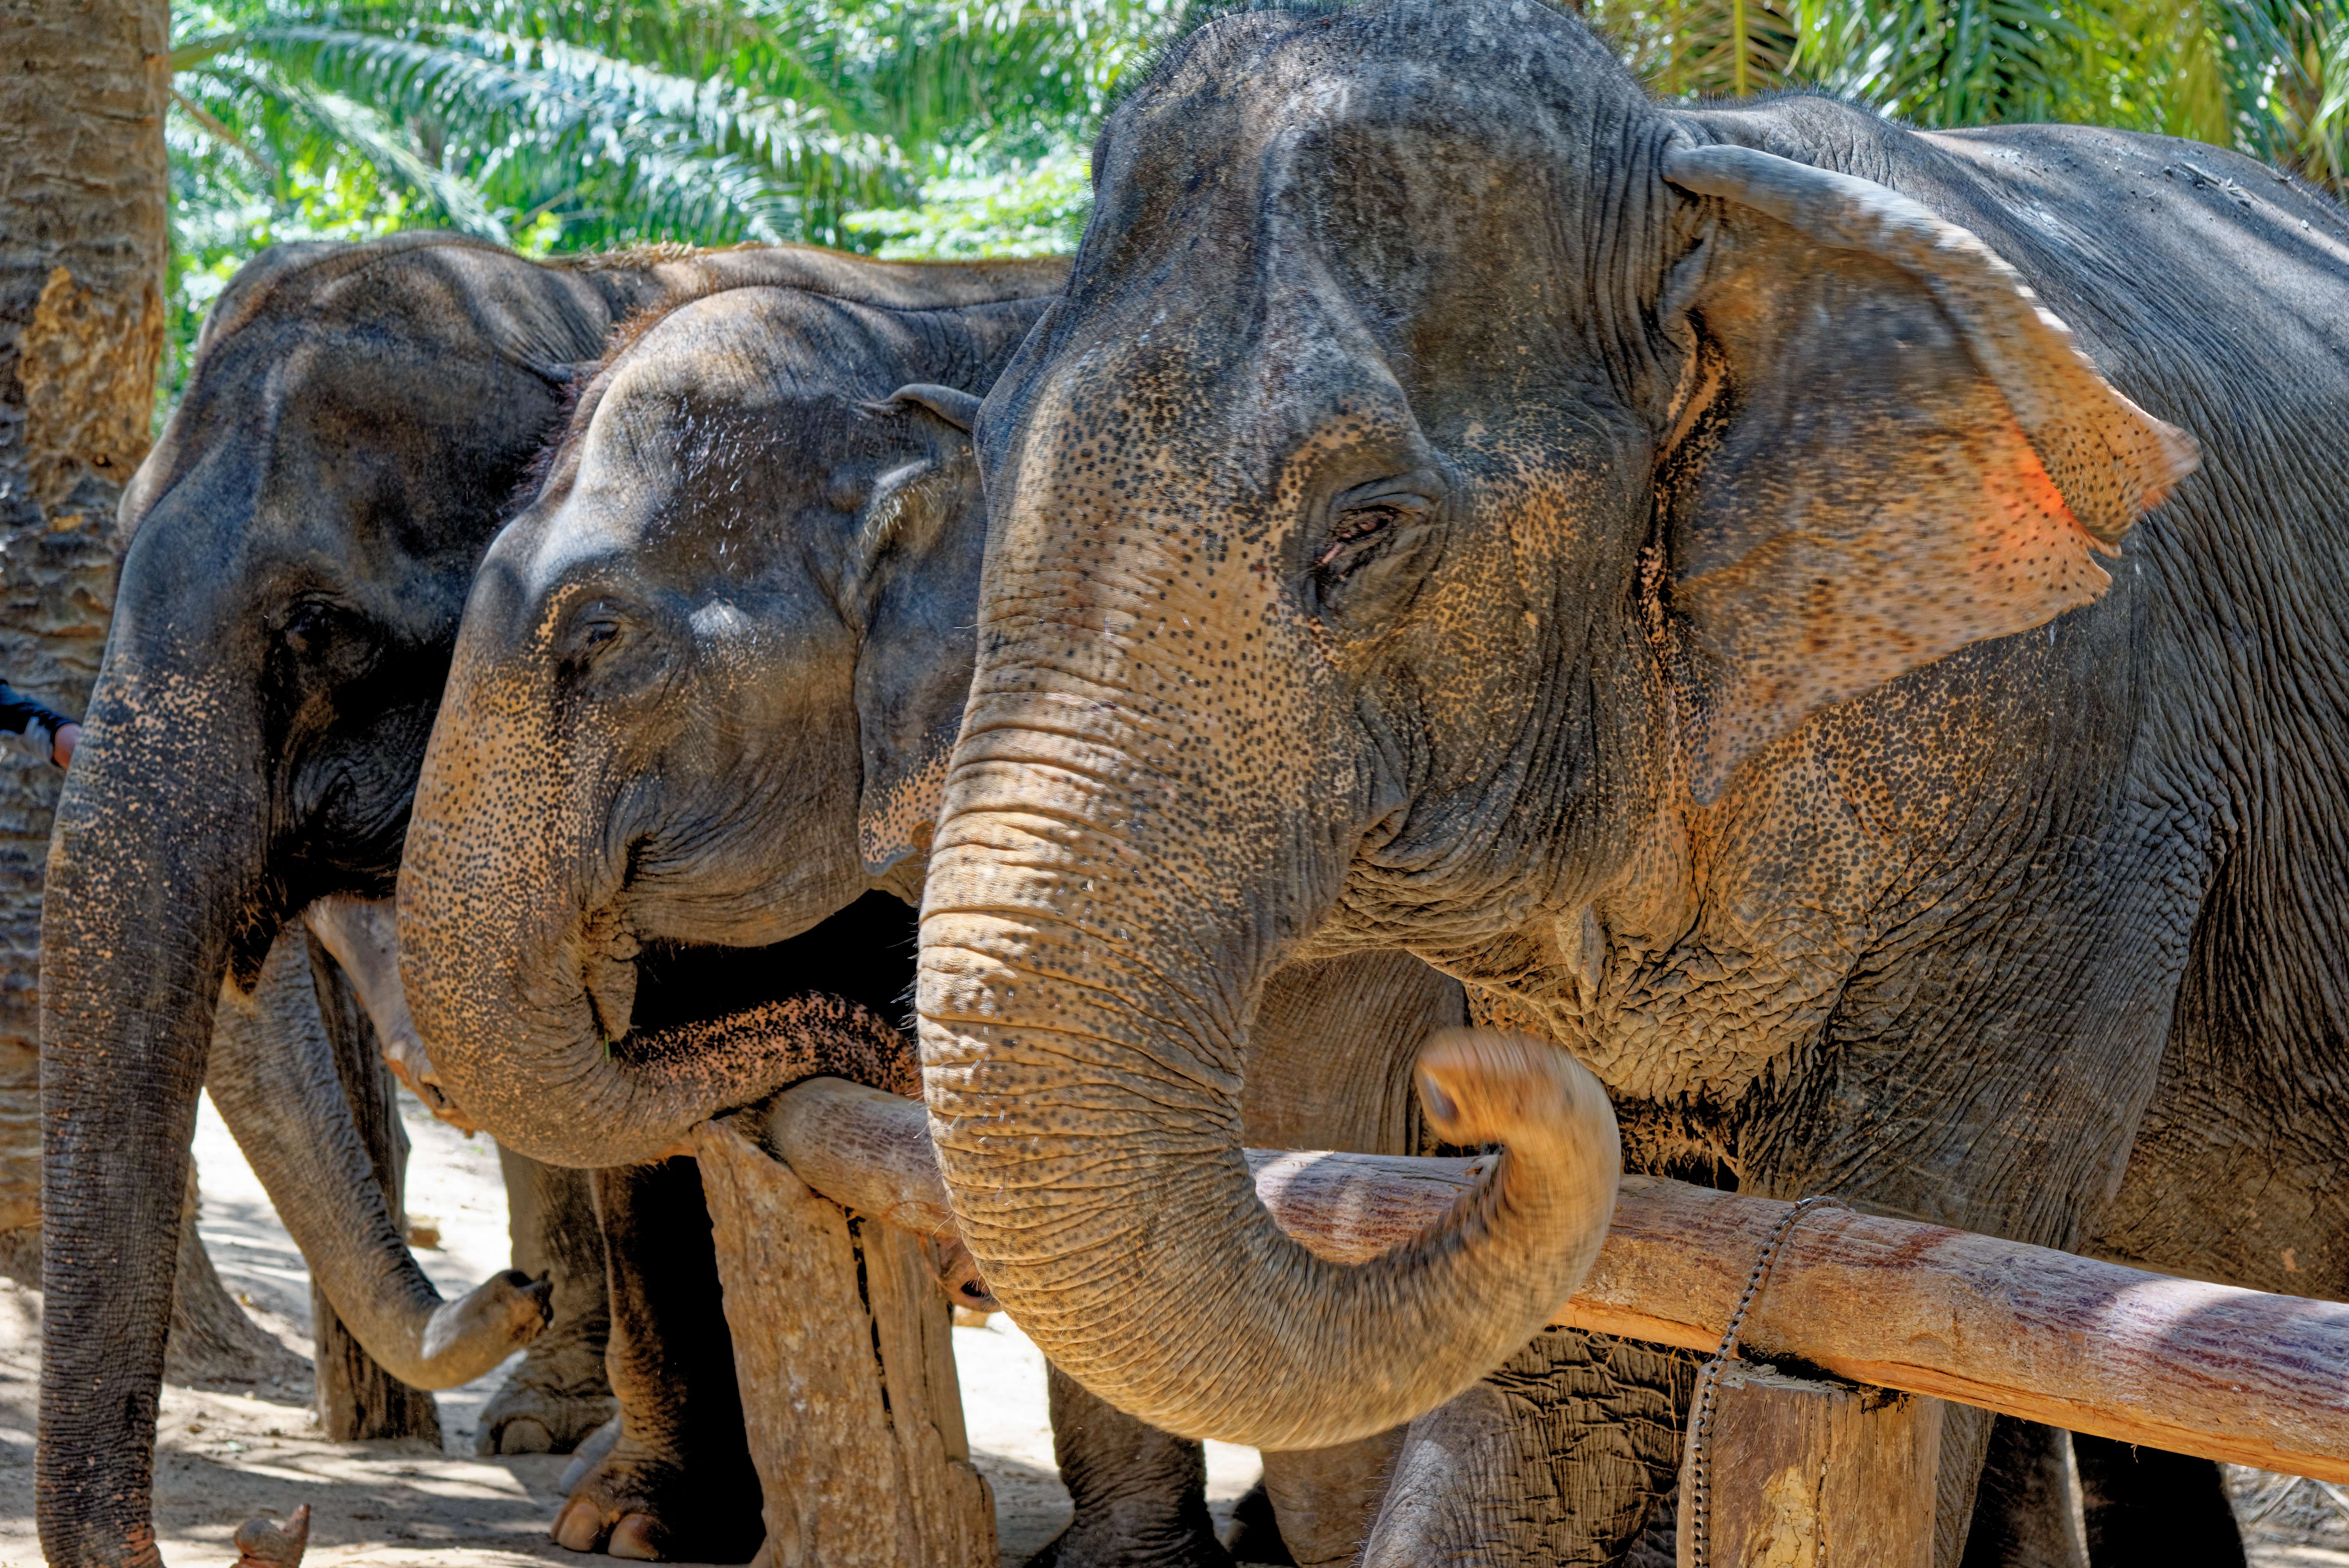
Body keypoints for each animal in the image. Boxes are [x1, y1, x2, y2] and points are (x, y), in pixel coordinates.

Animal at [898, 2, 2349, 1564]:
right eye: (983, 455)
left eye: (1362, 527)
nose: (1459, 1083)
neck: (1689, 164)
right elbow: (1583, 1353)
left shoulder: (2074, 766)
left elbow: (1891, 1281)